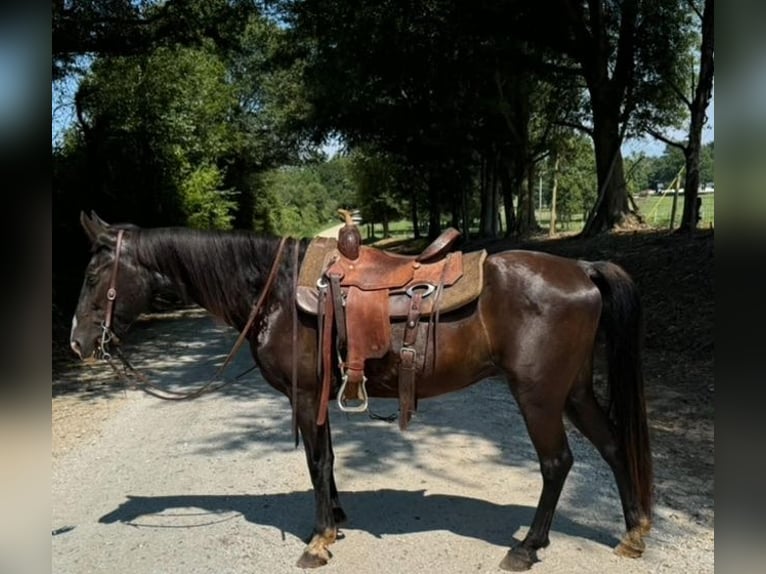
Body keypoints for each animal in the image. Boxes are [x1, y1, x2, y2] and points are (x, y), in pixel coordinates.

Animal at [68, 211, 653, 571]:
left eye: (95, 275)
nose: (77, 342)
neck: (275, 292)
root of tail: (582, 269)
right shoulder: (318, 398)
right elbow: (324, 459)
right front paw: (335, 522)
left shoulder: (305, 397)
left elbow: (317, 462)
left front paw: (318, 541)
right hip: (573, 391)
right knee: (613, 446)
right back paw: (634, 533)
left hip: (539, 396)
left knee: (557, 464)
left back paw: (528, 548)